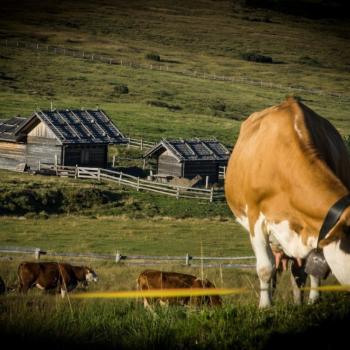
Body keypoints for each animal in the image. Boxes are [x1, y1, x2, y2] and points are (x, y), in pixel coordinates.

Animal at [224, 97, 350, 308]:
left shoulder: (314, 228)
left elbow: (312, 269)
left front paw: (313, 301)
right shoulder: (255, 219)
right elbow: (265, 268)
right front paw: (265, 306)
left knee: (298, 272)